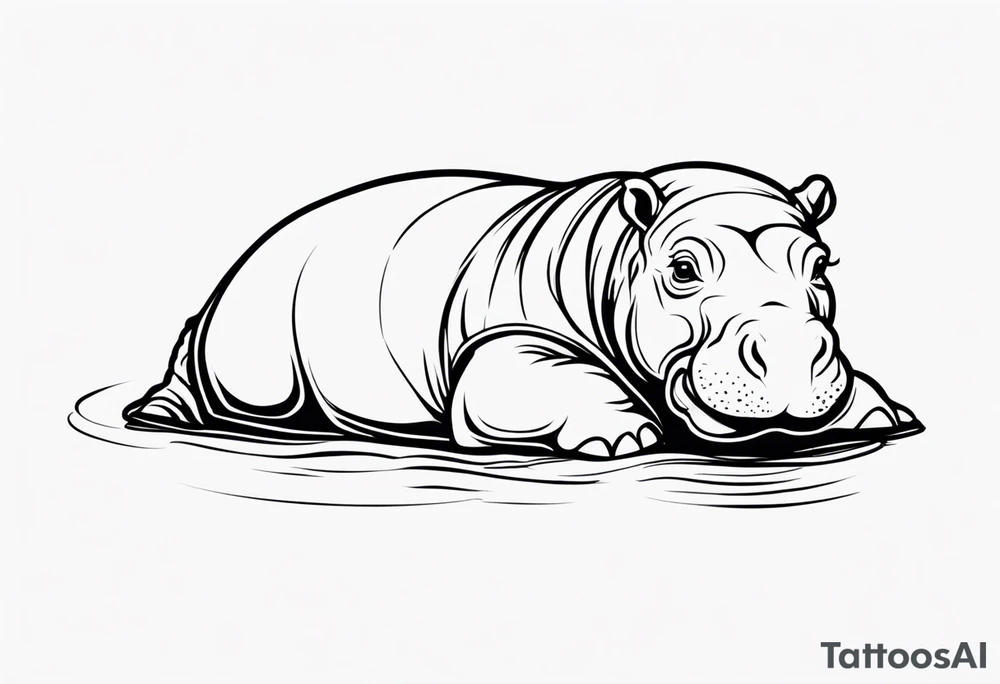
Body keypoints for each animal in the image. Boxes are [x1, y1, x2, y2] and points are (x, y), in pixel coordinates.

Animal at [124, 163, 919, 457]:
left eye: (822, 268)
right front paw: (624, 439)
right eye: (683, 270)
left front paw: (881, 416)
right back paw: (160, 419)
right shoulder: (507, 340)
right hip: (247, 316)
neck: (617, 253)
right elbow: (546, 380)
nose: (789, 354)